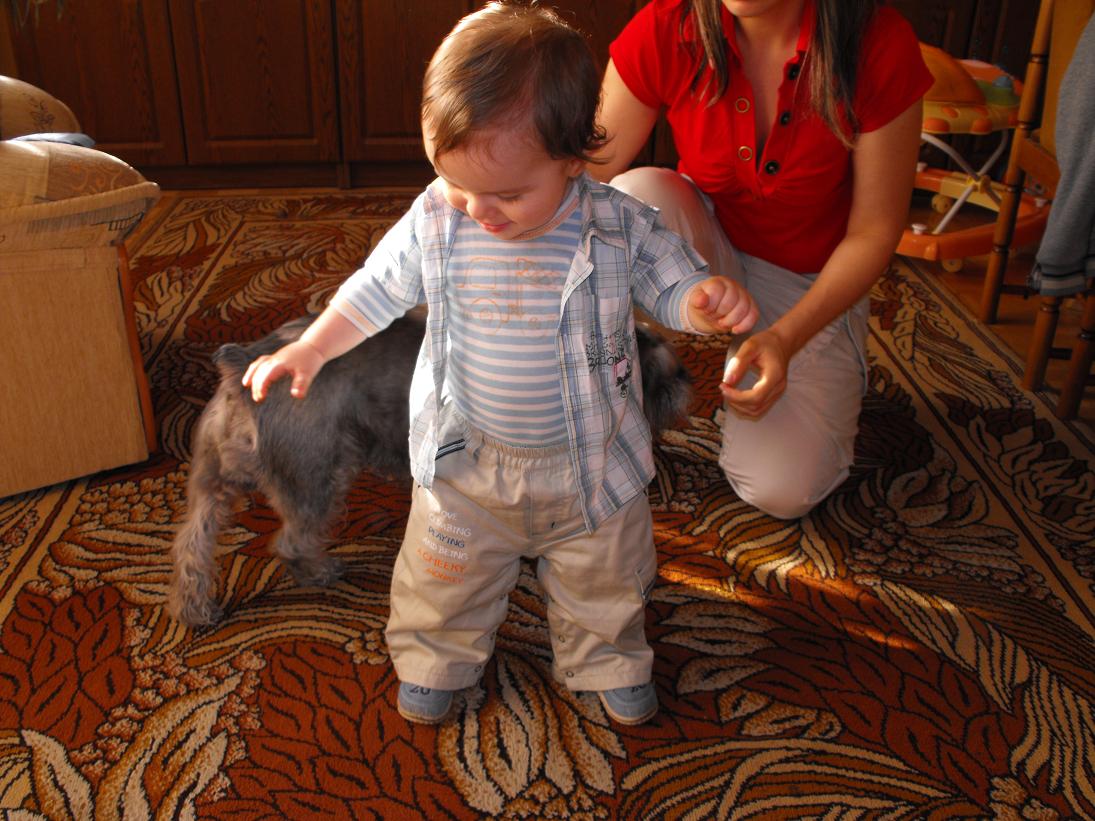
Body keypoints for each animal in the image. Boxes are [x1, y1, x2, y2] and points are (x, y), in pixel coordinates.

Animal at [167, 310, 693, 626]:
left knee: (192, 546)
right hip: (319, 476)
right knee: (292, 541)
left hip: (214, 483)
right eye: (660, 369)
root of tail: (244, 364)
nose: (686, 382)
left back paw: (197, 609)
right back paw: (320, 571)